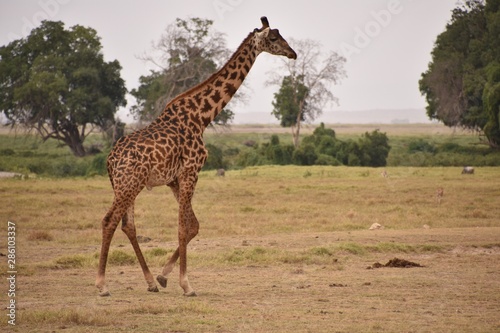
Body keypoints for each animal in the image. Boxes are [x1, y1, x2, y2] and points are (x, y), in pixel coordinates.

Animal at [95, 16, 294, 296]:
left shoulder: (174, 179)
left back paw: (149, 282)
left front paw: (163, 276)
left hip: (128, 185)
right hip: (128, 184)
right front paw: (186, 284)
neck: (203, 116)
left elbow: (194, 225)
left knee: (128, 225)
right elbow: (183, 228)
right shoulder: (191, 171)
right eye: (274, 38)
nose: (293, 53)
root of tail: (109, 161)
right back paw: (102, 285)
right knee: (108, 221)